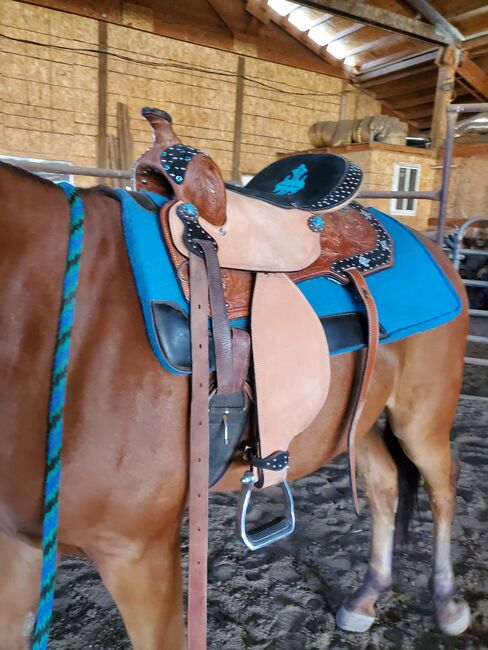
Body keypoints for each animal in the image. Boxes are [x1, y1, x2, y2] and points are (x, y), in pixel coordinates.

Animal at [0, 158, 472, 648]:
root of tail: (435, 249)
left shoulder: (136, 552)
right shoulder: (18, 544)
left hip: (421, 420)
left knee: (442, 485)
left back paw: (447, 604)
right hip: (357, 423)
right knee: (385, 484)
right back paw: (366, 598)